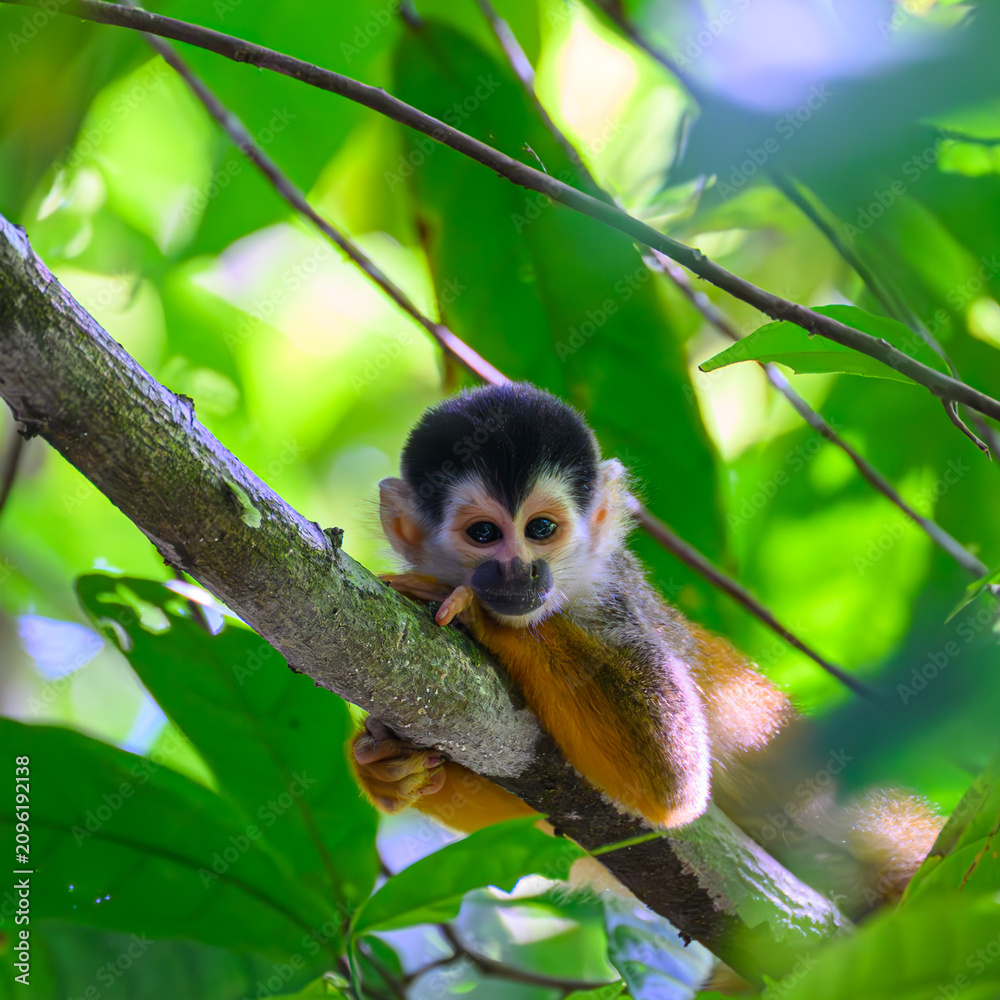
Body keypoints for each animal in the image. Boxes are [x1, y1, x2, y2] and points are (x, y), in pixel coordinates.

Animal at [352, 382, 941, 916]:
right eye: (483, 534)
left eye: (540, 528)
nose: (519, 573)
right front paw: (389, 766)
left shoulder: (615, 600)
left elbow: (671, 779)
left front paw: (477, 610)